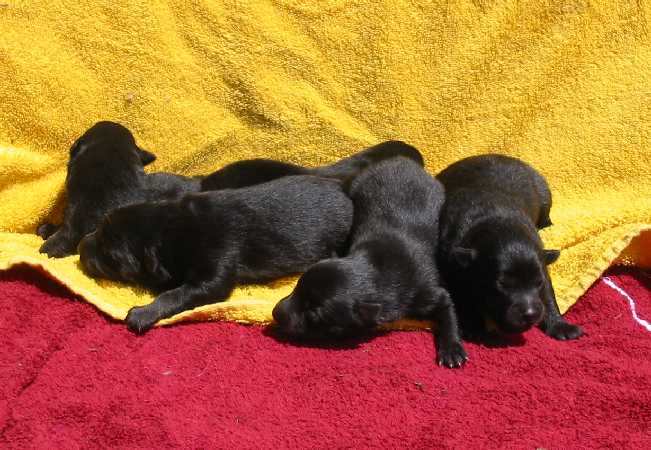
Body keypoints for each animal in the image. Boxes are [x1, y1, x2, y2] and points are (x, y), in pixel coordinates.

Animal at [78, 176, 354, 334]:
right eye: (99, 227)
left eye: (111, 256)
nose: (79, 250)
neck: (174, 228)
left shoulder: (216, 264)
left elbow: (176, 294)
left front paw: (142, 313)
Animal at [272, 158, 468, 370]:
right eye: (296, 288)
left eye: (314, 313)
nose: (275, 312)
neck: (376, 270)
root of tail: (400, 160)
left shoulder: (426, 290)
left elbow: (449, 309)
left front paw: (452, 349)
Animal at [436, 155, 584, 342]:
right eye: (502, 284)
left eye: (538, 282)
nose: (530, 314)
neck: (498, 219)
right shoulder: (450, 264)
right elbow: (462, 295)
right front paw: (474, 326)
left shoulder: (541, 267)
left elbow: (548, 295)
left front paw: (560, 325)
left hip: (544, 194)